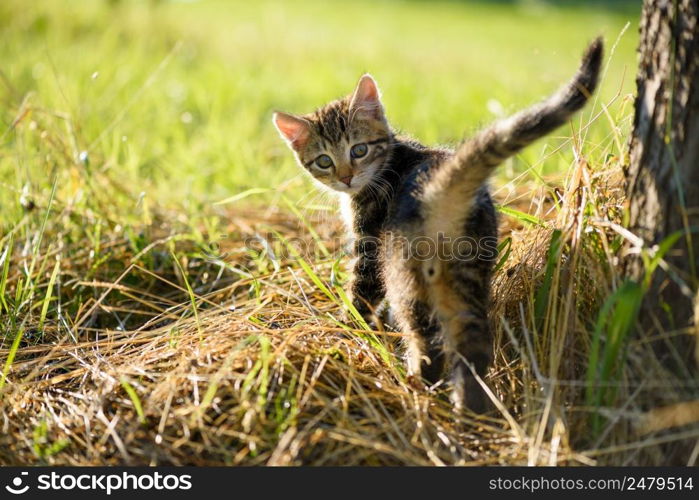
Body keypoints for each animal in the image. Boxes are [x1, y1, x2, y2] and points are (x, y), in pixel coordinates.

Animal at [274, 41, 600, 412]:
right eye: (324, 160)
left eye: (358, 150)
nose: (345, 178)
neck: (389, 161)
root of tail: (440, 185)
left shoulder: (369, 244)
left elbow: (361, 293)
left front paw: (346, 330)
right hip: (468, 272)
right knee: (473, 342)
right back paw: (469, 409)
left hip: (404, 274)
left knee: (427, 341)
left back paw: (417, 385)